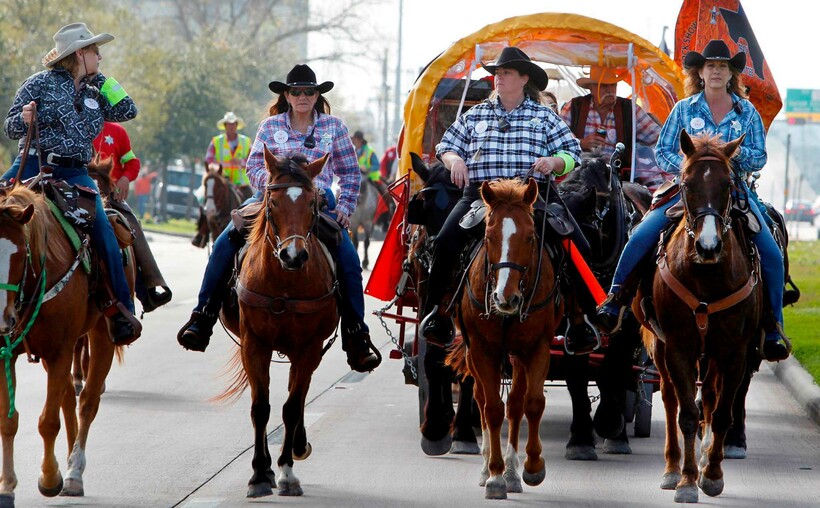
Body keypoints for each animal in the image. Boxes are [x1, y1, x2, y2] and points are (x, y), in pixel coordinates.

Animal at [0, 170, 133, 504]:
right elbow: (8, 420)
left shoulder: (60, 350)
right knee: (68, 402)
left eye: (19, 255)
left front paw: (49, 478)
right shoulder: (5, 353)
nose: (0, 318)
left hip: (102, 336)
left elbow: (48, 422)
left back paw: (74, 472)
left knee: (86, 402)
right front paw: (7, 486)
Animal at [215, 149, 340, 498]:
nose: (293, 256)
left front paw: (286, 472)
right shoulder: (255, 344)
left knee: (297, 392)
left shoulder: (309, 348)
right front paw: (260, 474)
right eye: (272, 203)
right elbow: (262, 407)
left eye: (312, 203)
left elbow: (292, 407)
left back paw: (297, 447)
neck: (285, 284)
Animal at [452, 180, 560, 500]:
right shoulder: (482, 350)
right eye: (489, 236)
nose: (505, 297)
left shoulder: (536, 348)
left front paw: (531, 467)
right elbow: (491, 408)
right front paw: (495, 475)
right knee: (482, 399)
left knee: (515, 404)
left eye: (530, 237)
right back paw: (488, 466)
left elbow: (531, 403)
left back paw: (513, 471)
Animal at [636, 131, 760, 504]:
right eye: (687, 184)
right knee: (670, 400)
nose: (708, 246)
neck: (707, 275)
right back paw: (671, 468)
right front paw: (688, 481)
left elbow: (720, 414)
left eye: (728, 184)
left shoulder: (735, 353)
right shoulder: (679, 347)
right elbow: (688, 415)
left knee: (709, 400)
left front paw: (713, 475)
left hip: (712, 356)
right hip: (662, 349)